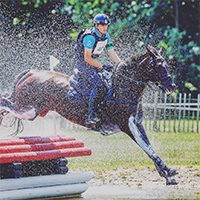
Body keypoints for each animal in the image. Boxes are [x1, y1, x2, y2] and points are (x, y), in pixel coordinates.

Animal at [0, 45, 177, 184]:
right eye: (158, 66)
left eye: (166, 65)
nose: (172, 86)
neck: (123, 88)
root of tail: (31, 72)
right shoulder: (127, 125)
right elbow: (147, 147)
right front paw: (168, 172)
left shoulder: (136, 124)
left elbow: (147, 146)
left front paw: (166, 175)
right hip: (28, 110)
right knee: (5, 101)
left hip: (32, 111)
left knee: (7, 103)